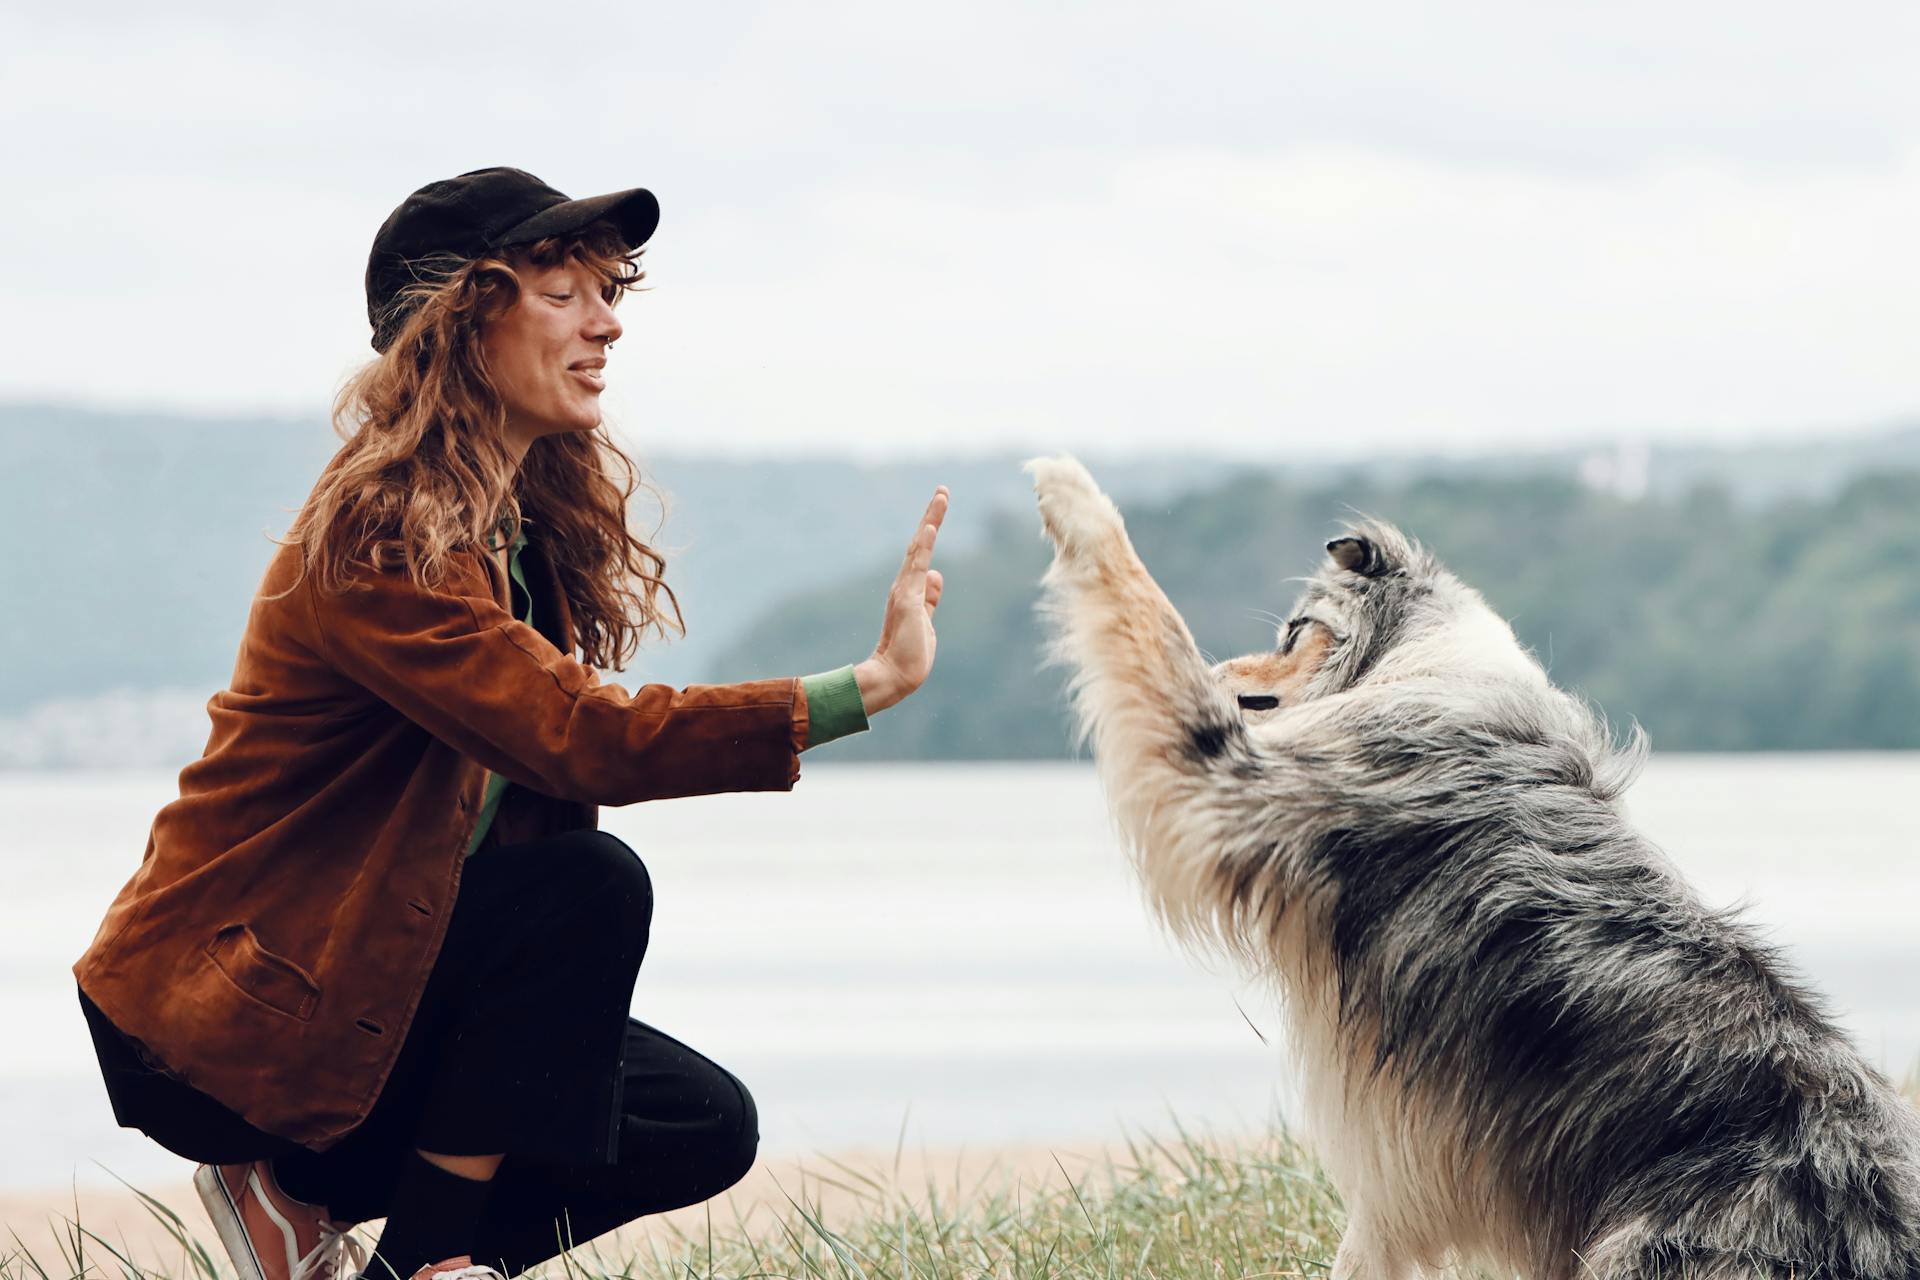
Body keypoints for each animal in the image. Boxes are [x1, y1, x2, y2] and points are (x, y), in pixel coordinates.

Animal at [1029, 454, 1920, 1274]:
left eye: (1294, 631)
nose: (1224, 676)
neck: (1427, 658)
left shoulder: (1228, 778)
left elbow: (1148, 619)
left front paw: (1072, 494)